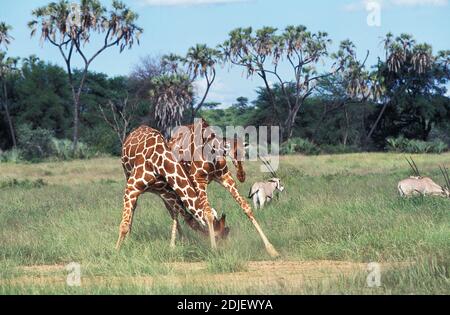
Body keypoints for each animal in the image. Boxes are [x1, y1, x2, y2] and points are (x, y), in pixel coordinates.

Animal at [167, 118, 280, 260]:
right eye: (231, 153)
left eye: (245, 154)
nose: (241, 176)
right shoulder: (199, 180)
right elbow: (208, 213)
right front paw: (214, 249)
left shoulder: (225, 177)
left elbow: (246, 207)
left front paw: (271, 249)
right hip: (177, 181)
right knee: (175, 208)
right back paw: (173, 245)